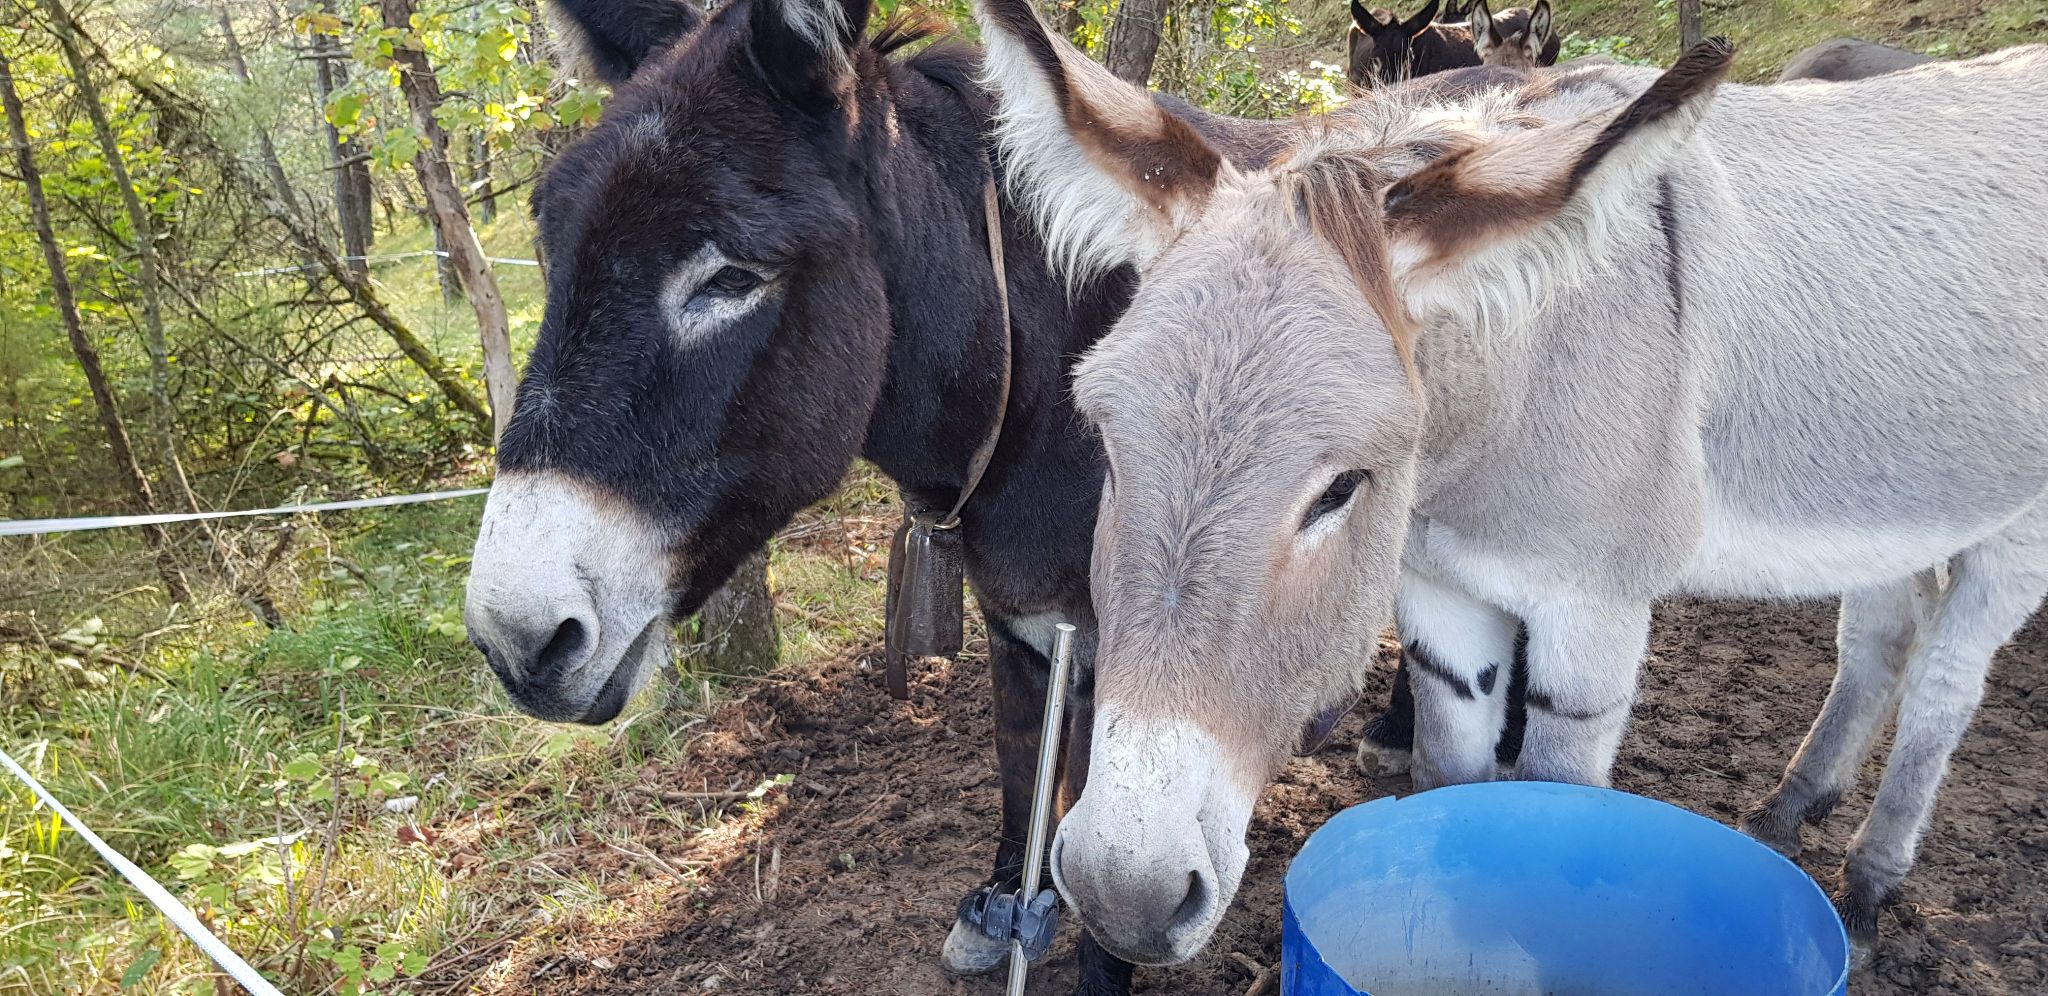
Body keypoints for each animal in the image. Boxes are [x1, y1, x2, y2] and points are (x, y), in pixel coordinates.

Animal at [975, 0, 2048, 974]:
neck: (1512, 386)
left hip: (2015, 527)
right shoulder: (1439, 597)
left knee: (1947, 685)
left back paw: (1868, 888)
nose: (1124, 892)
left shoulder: (1593, 617)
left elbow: (1553, 810)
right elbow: (1453, 790)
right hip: (1900, 494)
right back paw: (1791, 807)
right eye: (1109, 448)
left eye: (1341, 489)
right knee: (1879, 639)